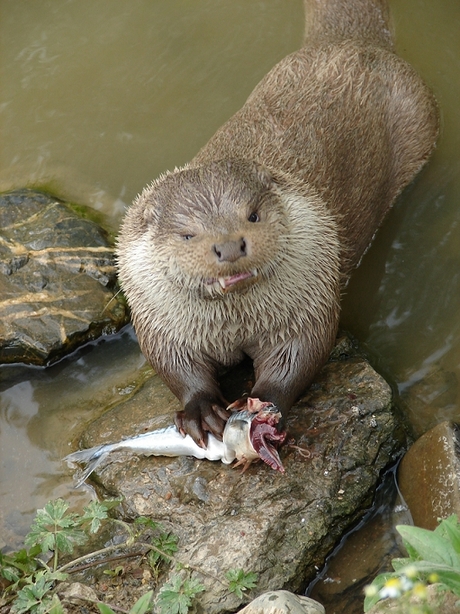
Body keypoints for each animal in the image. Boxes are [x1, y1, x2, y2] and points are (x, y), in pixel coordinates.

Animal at [116, 0, 438, 448]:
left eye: (252, 214)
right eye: (187, 234)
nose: (229, 246)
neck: (233, 325)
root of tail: (348, 41)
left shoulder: (307, 300)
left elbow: (299, 355)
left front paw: (261, 407)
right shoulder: (161, 320)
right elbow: (175, 366)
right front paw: (202, 410)